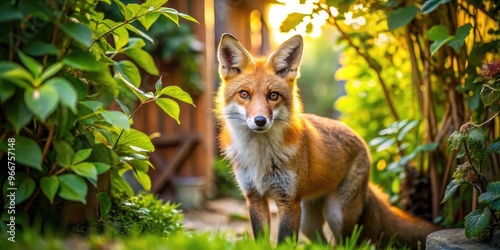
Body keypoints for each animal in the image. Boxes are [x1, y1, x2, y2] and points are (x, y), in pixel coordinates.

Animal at [213, 33, 440, 248]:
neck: (260, 156)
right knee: (323, 243)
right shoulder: (255, 199)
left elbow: (284, 242)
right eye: (244, 94)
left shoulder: (288, 202)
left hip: (336, 215)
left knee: (346, 243)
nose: (260, 120)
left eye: (273, 96)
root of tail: (361, 140)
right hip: (308, 223)